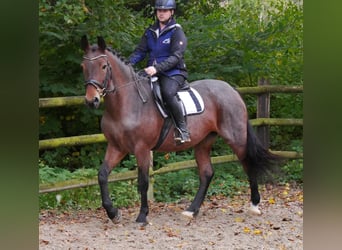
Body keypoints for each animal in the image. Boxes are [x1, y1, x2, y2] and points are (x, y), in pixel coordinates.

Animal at [80, 34, 280, 223]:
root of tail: (231, 90)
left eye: (103, 66)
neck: (128, 103)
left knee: (248, 164)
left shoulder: (142, 149)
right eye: (83, 66)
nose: (92, 100)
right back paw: (192, 210)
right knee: (207, 173)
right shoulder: (116, 147)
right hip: (203, 142)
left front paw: (142, 216)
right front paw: (113, 213)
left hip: (236, 138)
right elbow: (102, 175)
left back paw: (254, 205)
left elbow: (143, 182)